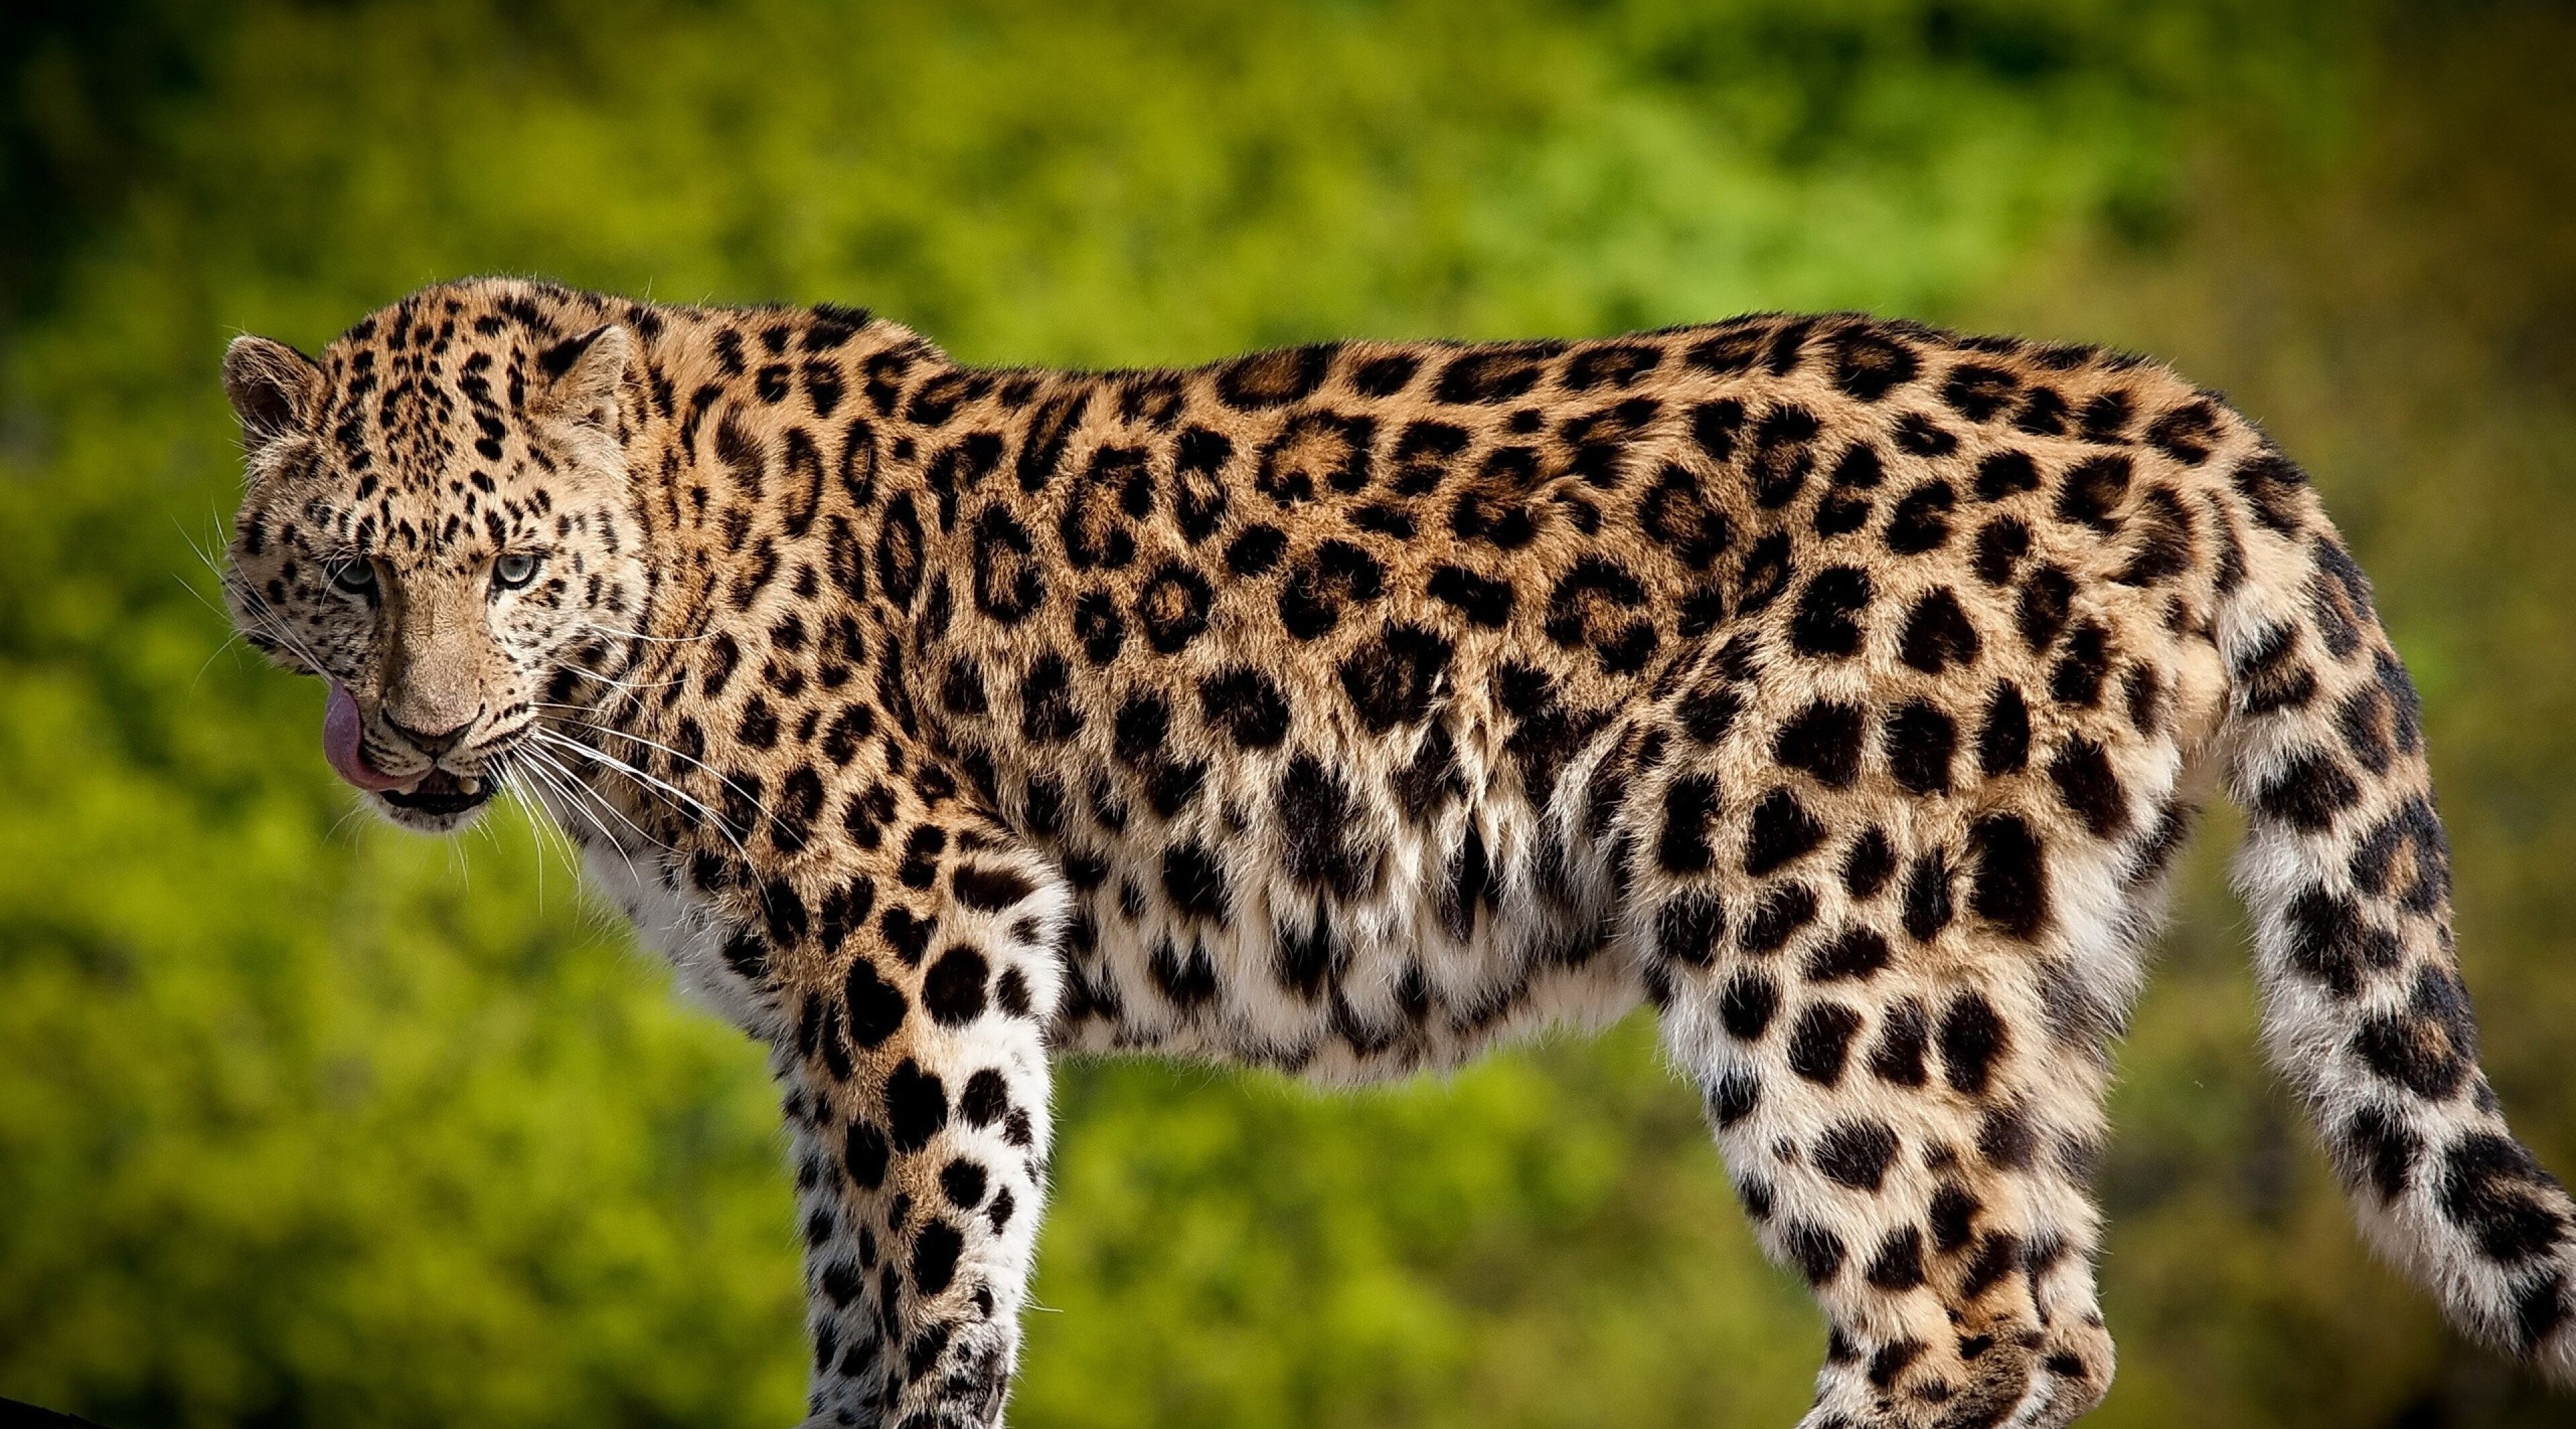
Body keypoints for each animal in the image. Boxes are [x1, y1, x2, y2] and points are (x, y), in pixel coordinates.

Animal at [218, 276, 2576, 1428]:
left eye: (509, 569)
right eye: (349, 573)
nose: (417, 732)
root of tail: (2180, 416)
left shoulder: (922, 920)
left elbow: (938, 1283)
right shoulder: (818, 1006)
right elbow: (848, 1301)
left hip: (1811, 919)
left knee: (1953, 1314)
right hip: (2015, 967)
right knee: (2055, 1312)